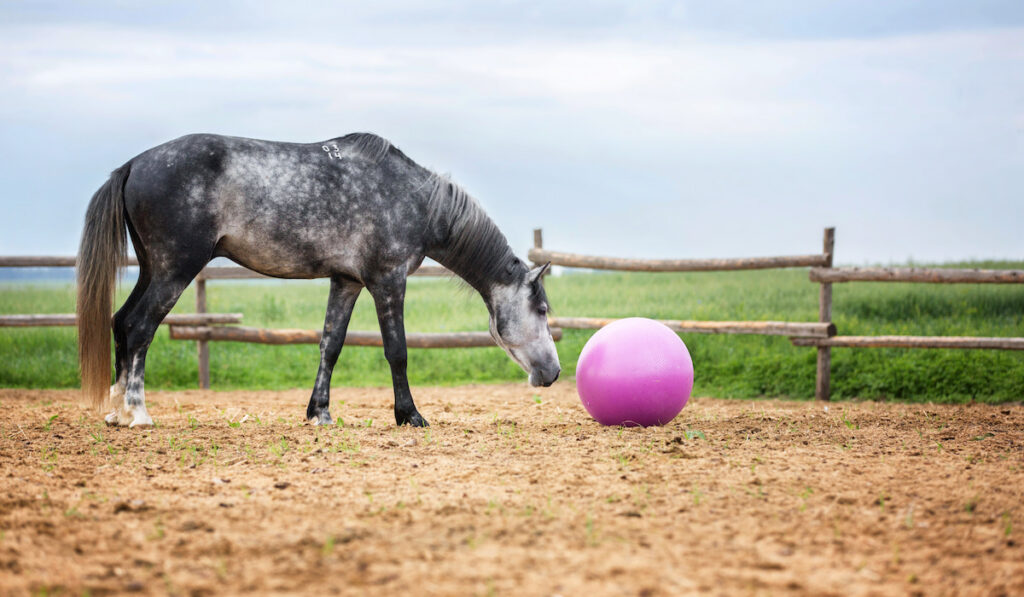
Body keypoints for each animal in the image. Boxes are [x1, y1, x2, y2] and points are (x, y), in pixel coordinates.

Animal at [77, 133, 561, 428]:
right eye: (541, 309)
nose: (554, 372)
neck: (415, 200)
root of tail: (134, 164)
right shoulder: (388, 281)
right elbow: (397, 351)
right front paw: (410, 415)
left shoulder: (345, 281)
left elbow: (331, 344)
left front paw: (319, 413)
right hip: (174, 270)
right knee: (139, 326)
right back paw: (138, 413)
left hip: (152, 268)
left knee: (121, 323)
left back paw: (117, 413)